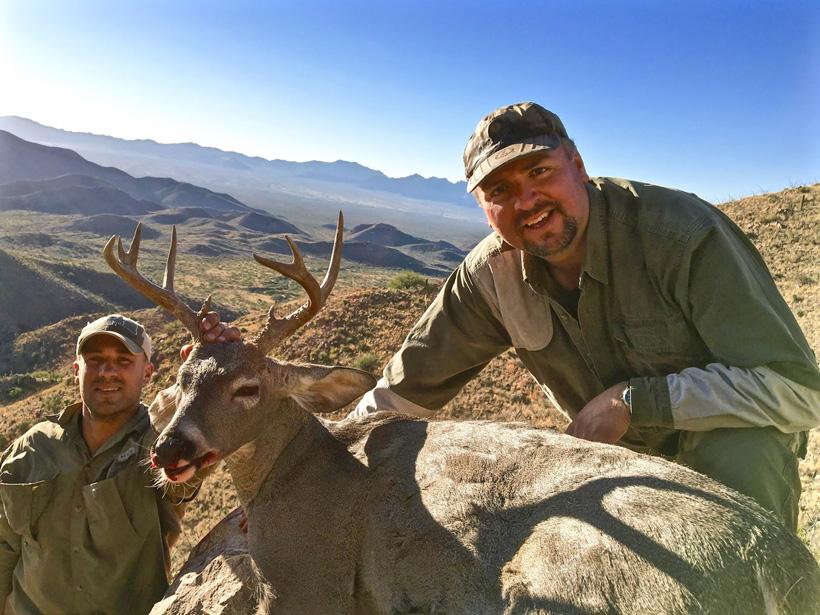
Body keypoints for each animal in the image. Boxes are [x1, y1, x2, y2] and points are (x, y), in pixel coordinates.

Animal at [104, 215, 820, 614]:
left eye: (248, 387)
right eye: (180, 379)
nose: (170, 451)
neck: (293, 473)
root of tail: (784, 566)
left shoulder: (308, 579)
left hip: (574, 588)